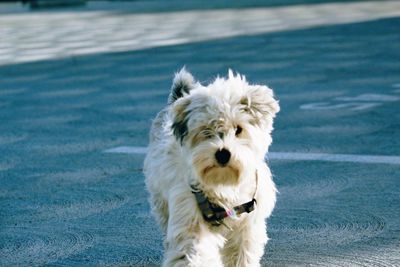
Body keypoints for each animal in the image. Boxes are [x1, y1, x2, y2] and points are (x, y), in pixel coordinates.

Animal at [145, 69, 280, 267]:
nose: (223, 154)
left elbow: (241, 252)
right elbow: (193, 251)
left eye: (238, 129)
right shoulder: (190, 218)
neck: (223, 183)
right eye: (206, 131)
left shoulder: (247, 225)